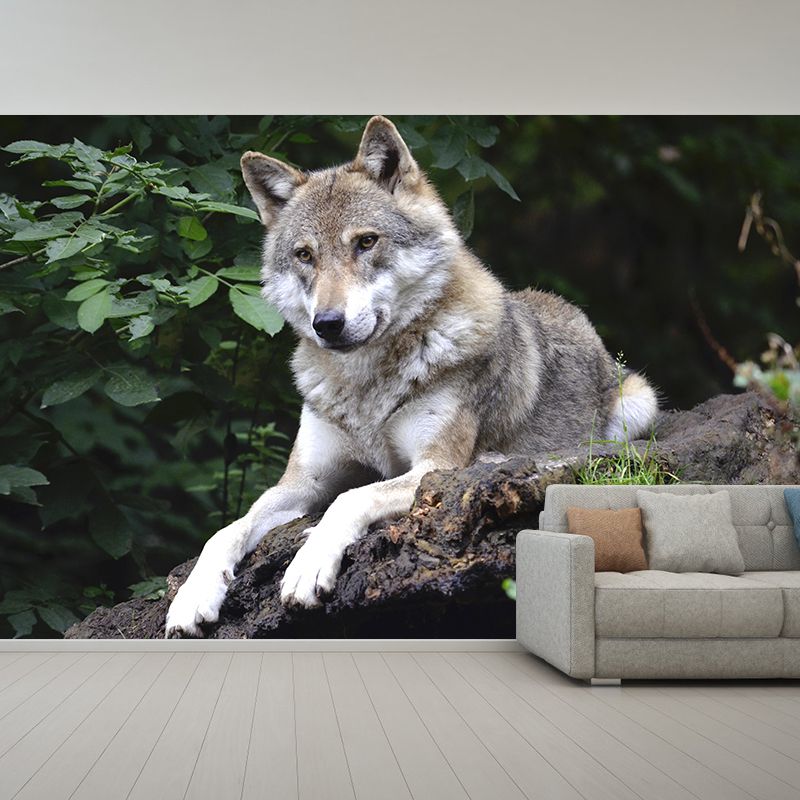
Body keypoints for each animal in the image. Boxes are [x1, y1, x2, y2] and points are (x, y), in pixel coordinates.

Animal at [164, 116, 658, 637]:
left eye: (366, 241)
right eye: (304, 255)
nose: (327, 323)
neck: (365, 387)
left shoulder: (431, 467)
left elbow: (350, 498)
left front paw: (307, 565)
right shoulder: (302, 482)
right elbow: (227, 529)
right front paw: (192, 596)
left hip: (638, 404)